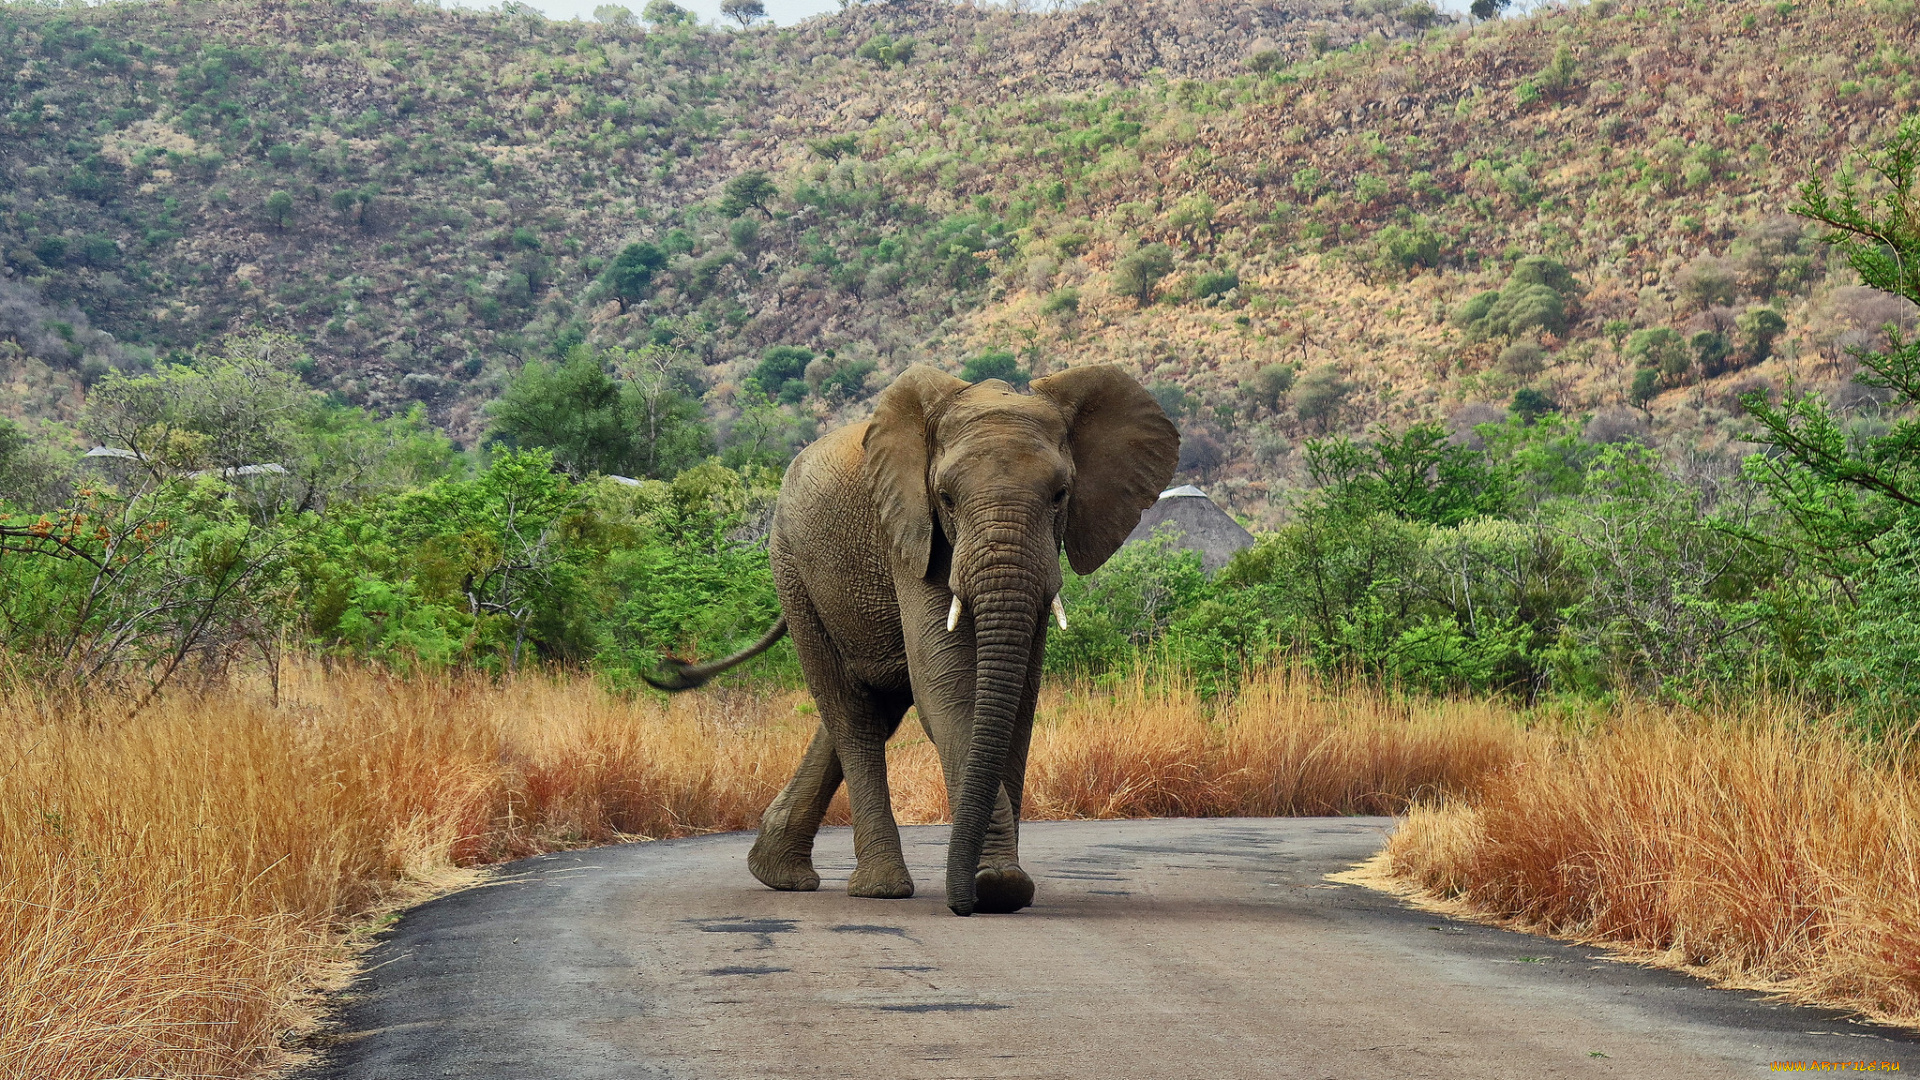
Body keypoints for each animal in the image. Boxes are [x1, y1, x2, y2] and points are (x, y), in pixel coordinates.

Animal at [645, 361, 1175, 907]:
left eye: (1060, 496)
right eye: (946, 499)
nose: (966, 904)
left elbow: (1019, 698)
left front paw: (1001, 885)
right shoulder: (909, 530)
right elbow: (947, 688)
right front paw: (996, 886)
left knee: (873, 703)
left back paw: (777, 874)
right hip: (793, 570)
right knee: (852, 714)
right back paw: (879, 889)